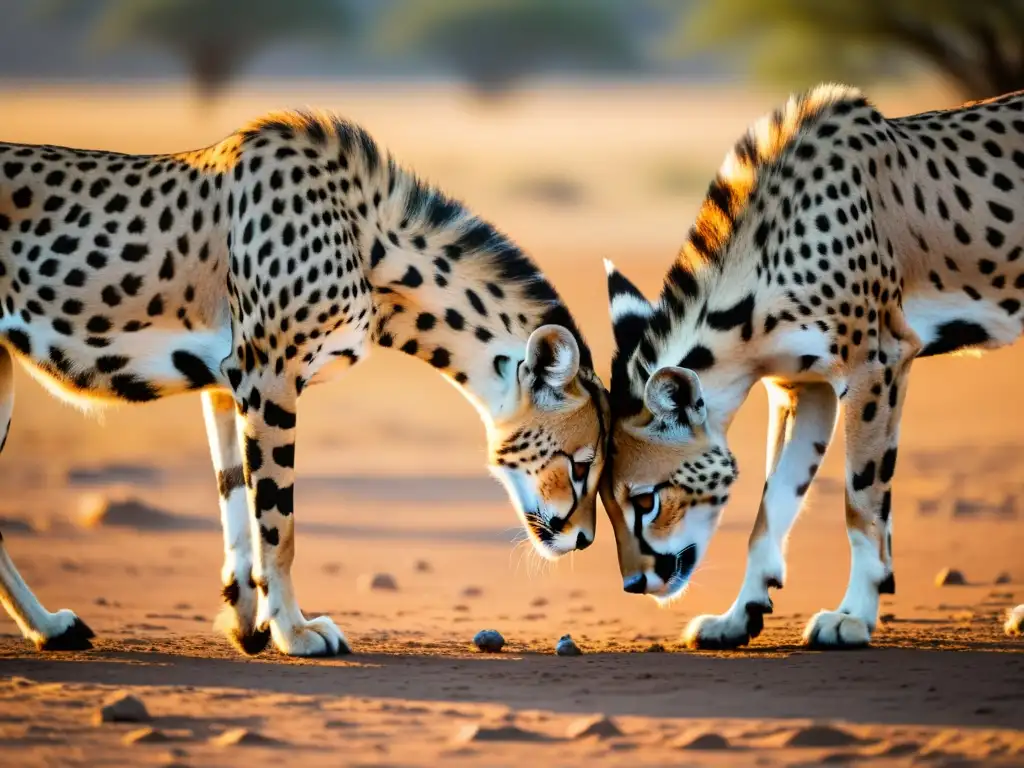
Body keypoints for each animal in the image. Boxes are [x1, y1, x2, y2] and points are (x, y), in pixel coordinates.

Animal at [0, 111, 606, 659]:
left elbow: (236, 504)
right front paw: (293, 631)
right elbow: (277, 525)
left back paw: (50, 628)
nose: (584, 539)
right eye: (580, 464)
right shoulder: (268, 377)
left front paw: (247, 622)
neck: (368, 245)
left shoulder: (225, 382)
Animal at [598, 83, 1024, 651]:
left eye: (646, 500)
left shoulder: (877, 365)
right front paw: (740, 615)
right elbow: (771, 507)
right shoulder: (803, 389)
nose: (633, 583)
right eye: (602, 501)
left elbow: (861, 503)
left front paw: (854, 616)